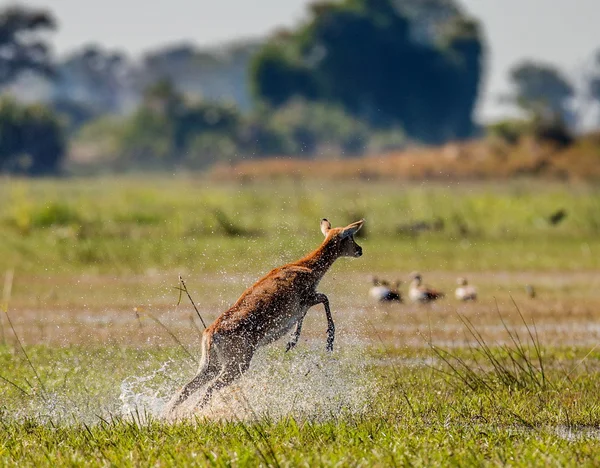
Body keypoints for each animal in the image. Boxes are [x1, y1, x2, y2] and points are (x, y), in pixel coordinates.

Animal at [166, 218, 368, 414]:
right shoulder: (308, 298)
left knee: (184, 389)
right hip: (235, 365)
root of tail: (210, 333)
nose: (360, 250)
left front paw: (292, 342)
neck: (305, 267)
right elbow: (325, 299)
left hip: (210, 366)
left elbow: (304, 315)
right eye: (350, 236)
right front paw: (327, 342)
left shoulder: (302, 305)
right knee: (209, 389)